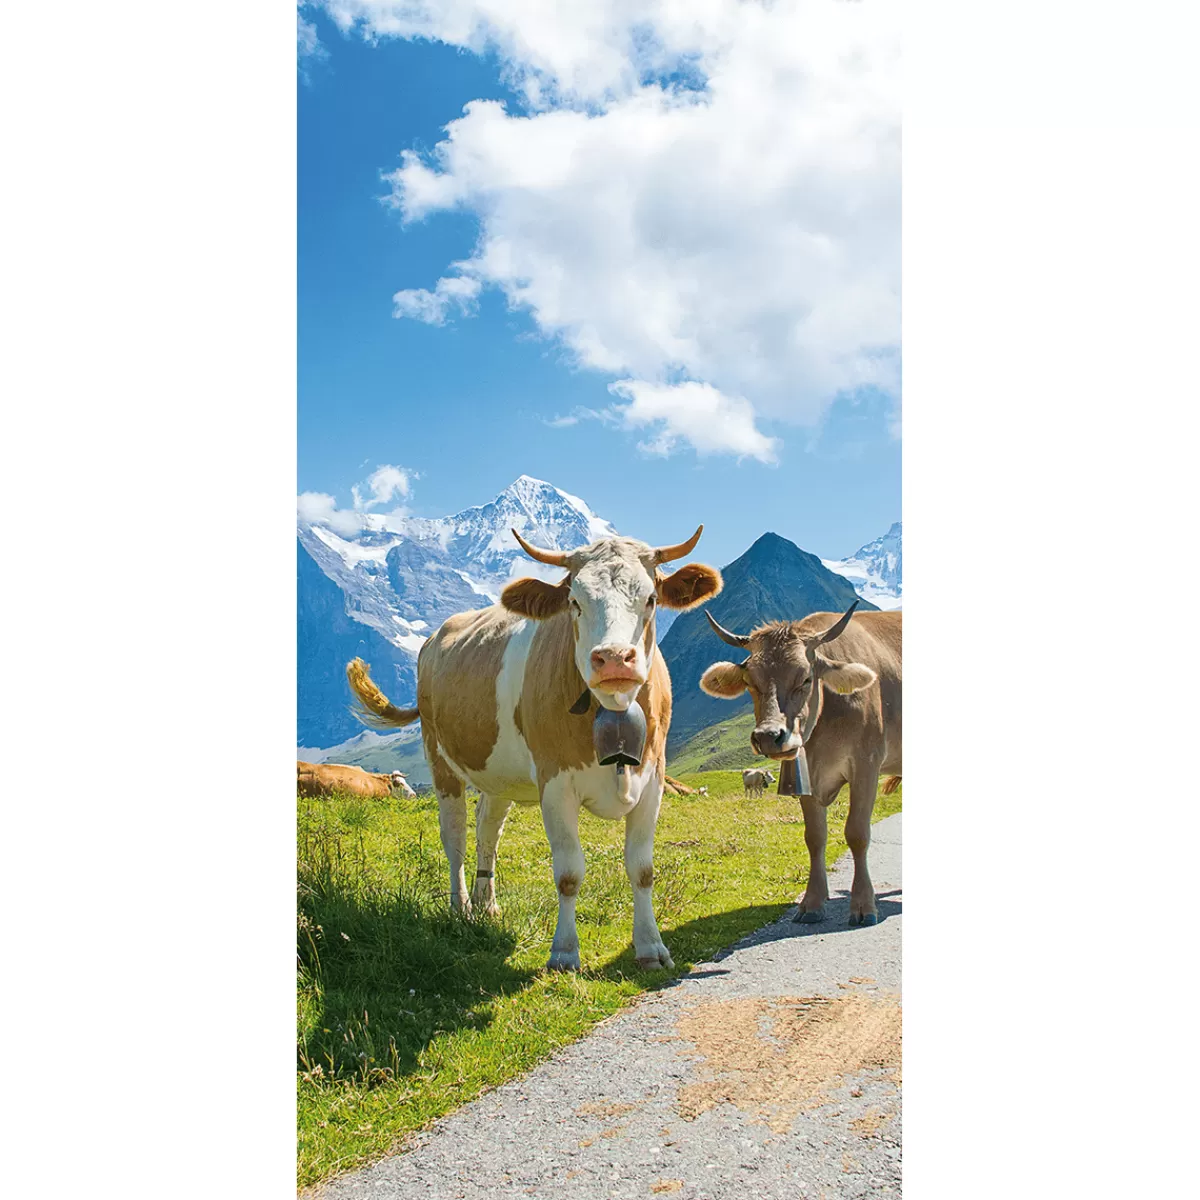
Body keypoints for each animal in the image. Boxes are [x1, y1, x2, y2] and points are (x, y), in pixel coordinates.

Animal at [346, 527, 723, 971]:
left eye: (650, 599)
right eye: (575, 601)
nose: (614, 658)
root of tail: (437, 636)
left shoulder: (652, 780)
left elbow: (642, 868)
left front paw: (651, 948)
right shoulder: (555, 784)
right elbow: (569, 872)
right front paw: (564, 953)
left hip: (498, 774)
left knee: (488, 828)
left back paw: (486, 903)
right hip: (440, 759)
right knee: (454, 835)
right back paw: (461, 908)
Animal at [701, 603, 901, 927]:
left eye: (806, 678)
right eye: (750, 682)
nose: (768, 737)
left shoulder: (866, 766)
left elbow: (857, 833)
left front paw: (863, 905)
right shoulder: (807, 778)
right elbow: (815, 837)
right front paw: (812, 903)